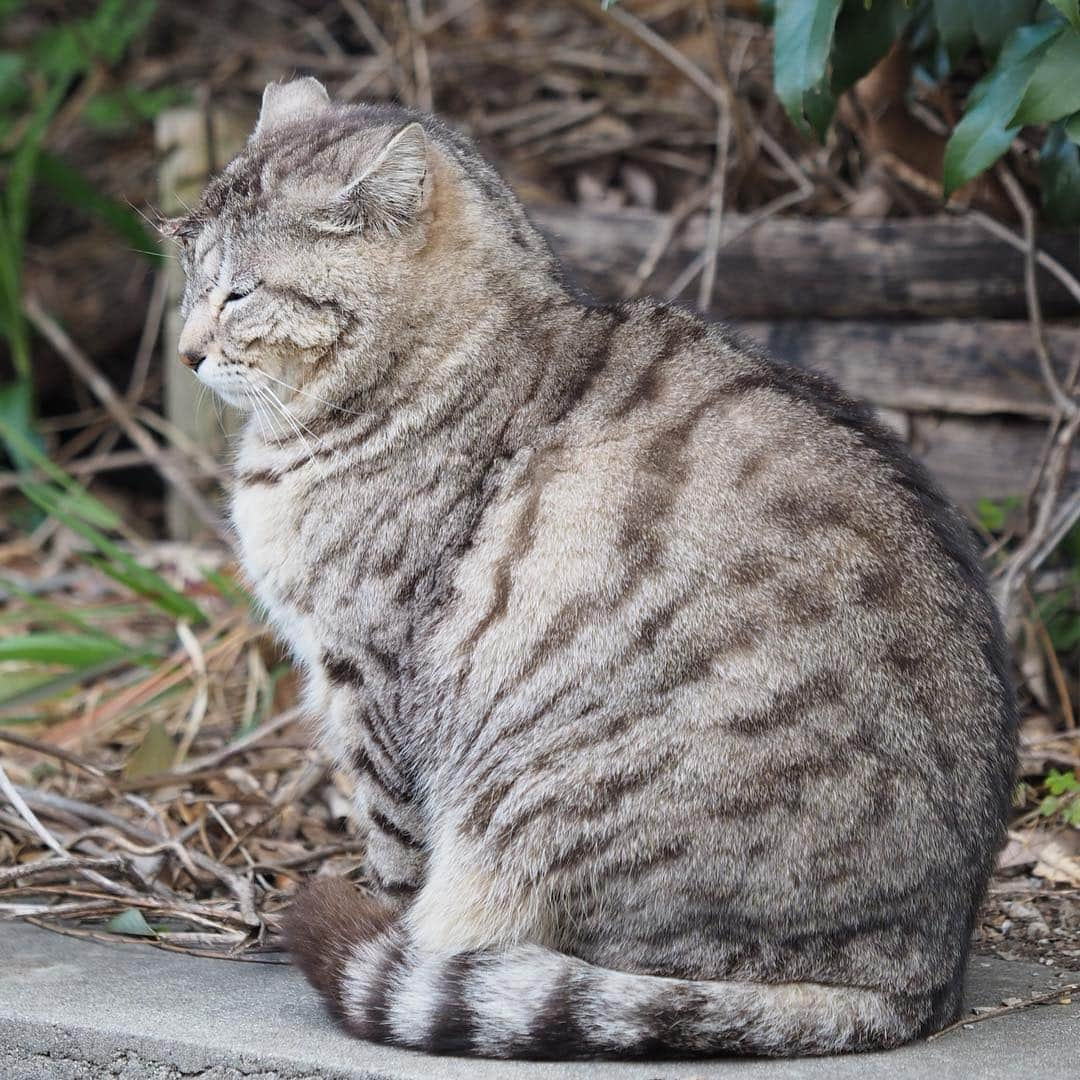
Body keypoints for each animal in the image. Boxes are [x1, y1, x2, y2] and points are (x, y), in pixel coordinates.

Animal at [166, 78, 1010, 1062]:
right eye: (190, 272)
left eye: (240, 291)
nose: (186, 351)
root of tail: (922, 976)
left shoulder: (374, 679)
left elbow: (393, 842)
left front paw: (386, 922)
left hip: (538, 803)